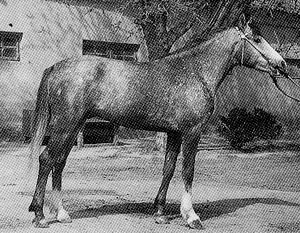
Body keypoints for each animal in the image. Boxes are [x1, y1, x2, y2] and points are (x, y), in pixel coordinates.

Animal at [28, 15, 288, 229]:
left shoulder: (174, 132)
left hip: (74, 126)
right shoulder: (192, 131)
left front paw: (160, 212)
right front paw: (191, 216)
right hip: (65, 125)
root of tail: (56, 67)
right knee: (46, 159)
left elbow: (168, 169)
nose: (283, 64)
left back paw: (62, 213)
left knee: (59, 162)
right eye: (257, 39)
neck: (195, 72)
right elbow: (188, 170)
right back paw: (40, 215)